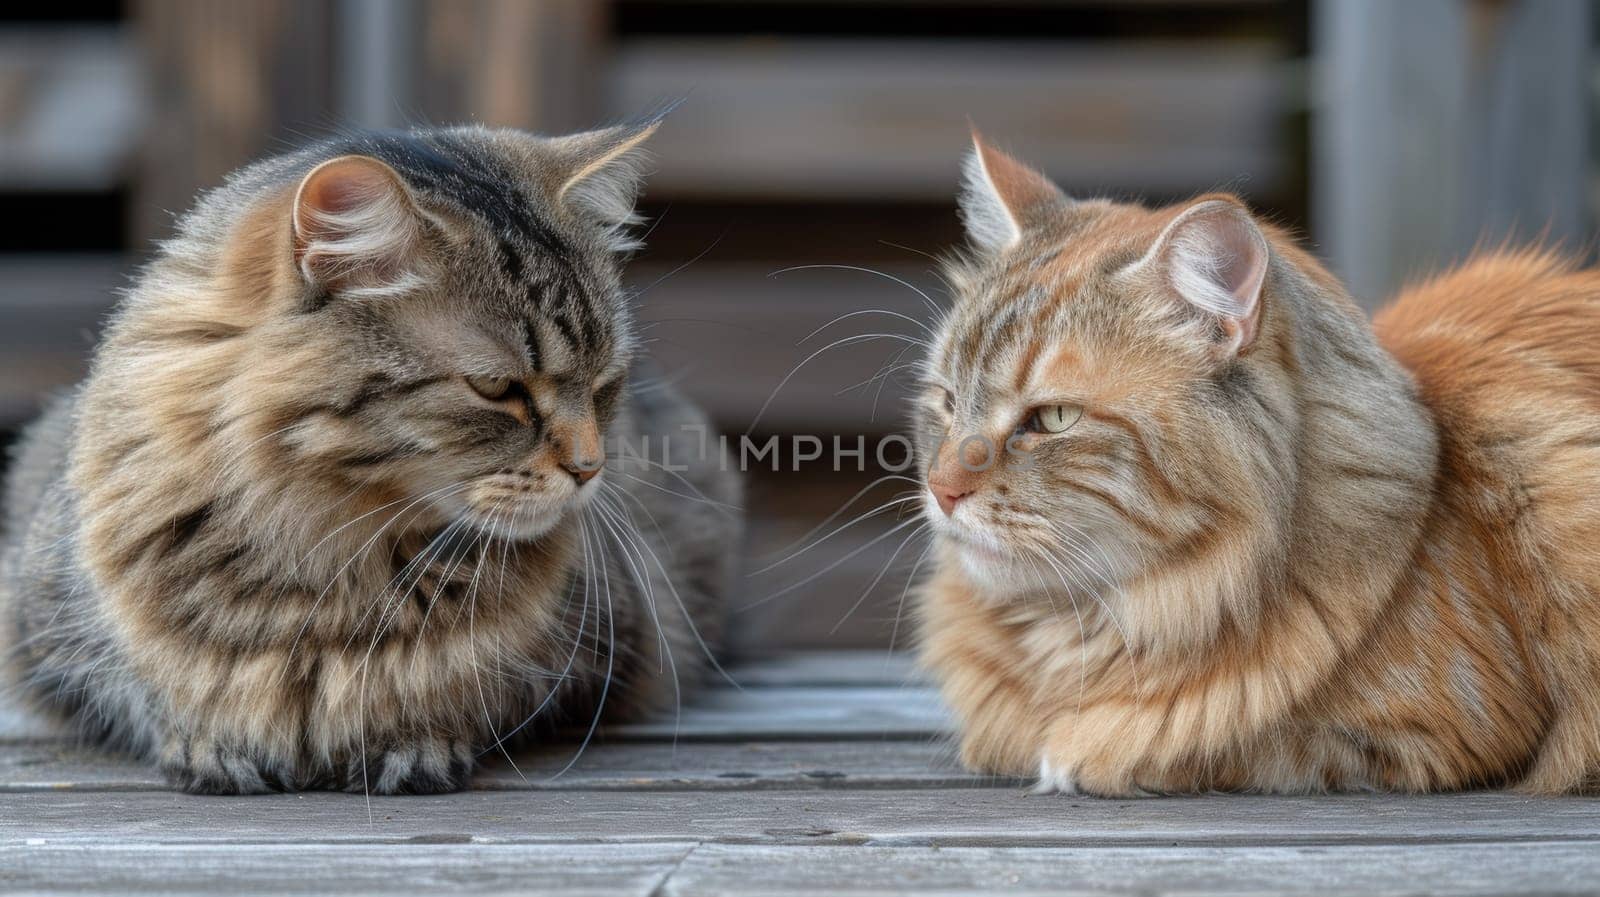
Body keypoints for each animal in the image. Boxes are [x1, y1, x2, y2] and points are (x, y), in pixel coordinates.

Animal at [0, 117, 736, 789]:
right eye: (498, 388)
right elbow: (154, 697)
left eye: (607, 381)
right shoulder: (48, 642)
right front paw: (212, 742)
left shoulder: (610, 653)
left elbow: (466, 696)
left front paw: (409, 741)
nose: (589, 468)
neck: (328, 557)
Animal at [915, 136, 1600, 793]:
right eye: (947, 403)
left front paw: (1086, 751)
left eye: (1054, 418)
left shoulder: (1437, 737)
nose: (941, 489)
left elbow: (1223, 740)